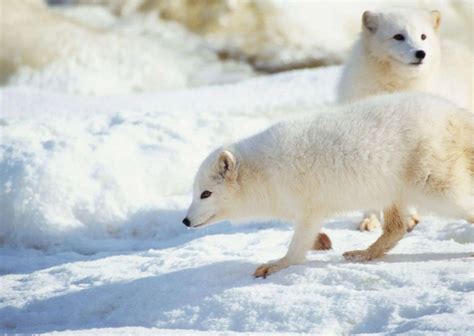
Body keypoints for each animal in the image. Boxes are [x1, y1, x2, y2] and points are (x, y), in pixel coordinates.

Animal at [184, 92, 474, 278]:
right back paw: (364, 253)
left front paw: (278, 264)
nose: (185, 221)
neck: (264, 173)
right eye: (195, 193)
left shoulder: (309, 207)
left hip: (433, 186)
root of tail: (455, 112)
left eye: (206, 193)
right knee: (397, 228)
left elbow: (297, 247)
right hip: (392, 190)